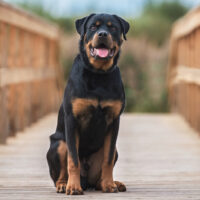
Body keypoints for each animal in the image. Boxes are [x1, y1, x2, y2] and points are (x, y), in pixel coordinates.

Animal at [46, 13, 129, 195]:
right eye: (93, 27)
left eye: (113, 27)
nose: (103, 34)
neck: (98, 74)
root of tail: (87, 181)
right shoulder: (72, 120)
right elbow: (73, 160)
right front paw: (73, 187)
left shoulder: (114, 121)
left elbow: (108, 159)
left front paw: (109, 184)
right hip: (58, 144)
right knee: (60, 171)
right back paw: (64, 184)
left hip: (114, 150)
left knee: (100, 176)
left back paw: (112, 183)